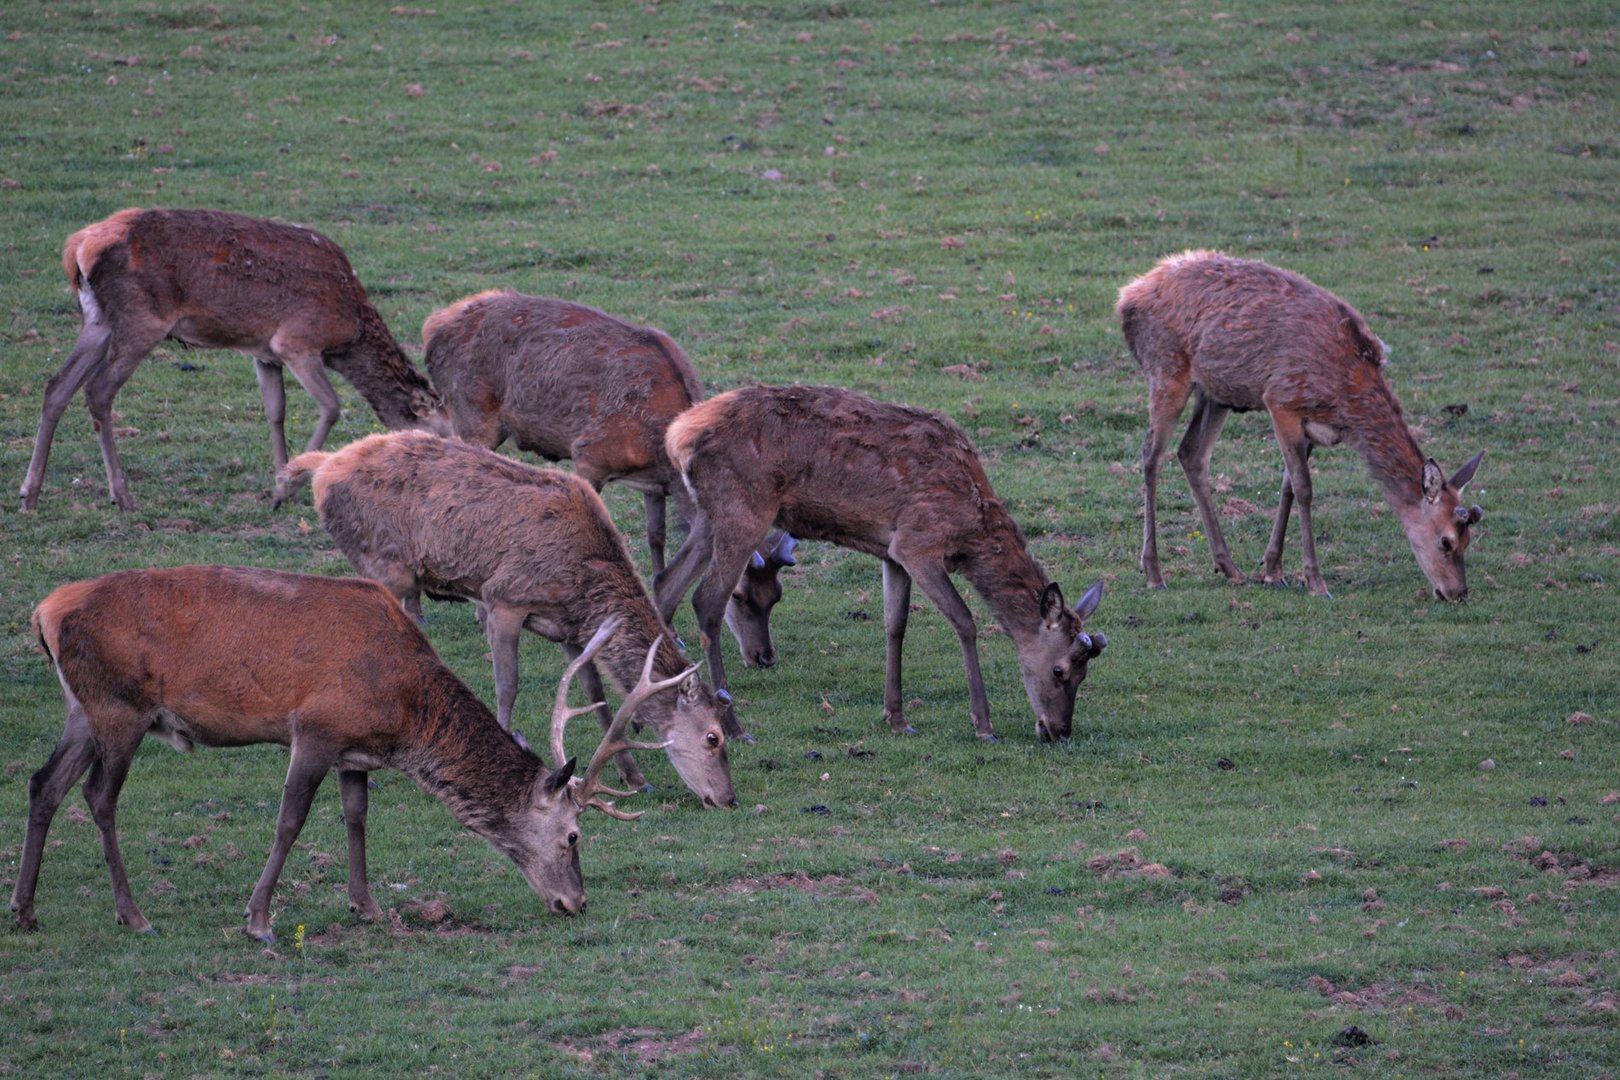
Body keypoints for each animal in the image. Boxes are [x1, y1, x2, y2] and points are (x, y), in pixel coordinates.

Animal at [12, 569, 670, 939]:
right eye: (574, 836)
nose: (576, 903)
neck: (403, 709)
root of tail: (45, 610)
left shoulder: (355, 751)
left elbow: (357, 816)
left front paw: (367, 906)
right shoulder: (316, 728)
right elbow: (290, 821)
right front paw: (258, 920)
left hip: (82, 710)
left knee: (44, 783)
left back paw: (24, 911)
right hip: (119, 707)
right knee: (98, 795)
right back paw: (134, 916)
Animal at [19, 210, 450, 514]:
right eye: (443, 435)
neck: (349, 330)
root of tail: (78, 247)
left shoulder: (264, 353)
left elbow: (275, 412)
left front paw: (280, 484)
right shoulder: (296, 341)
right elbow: (331, 406)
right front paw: (288, 487)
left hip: (97, 320)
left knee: (57, 385)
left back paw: (29, 494)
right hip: (140, 321)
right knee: (98, 390)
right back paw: (122, 497)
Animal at [285, 427, 741, 806]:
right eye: (713, 737)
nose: (728, 798)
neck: (583, 584)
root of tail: (323, 465)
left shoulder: (568, 628)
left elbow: (593, 693)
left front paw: (636, 777)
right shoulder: (504, 598)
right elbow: (508, 686)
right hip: (384, 563)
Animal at [651, 383, 1108, 748]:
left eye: (1086, 674)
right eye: (1060, 670)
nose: (1059, 731)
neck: (970, 527)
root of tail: (677, 435)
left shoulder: (892, 552)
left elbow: (895, 624)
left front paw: (897, 718)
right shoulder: (917, 543)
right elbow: (964, 621)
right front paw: (983, 725)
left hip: (709, 516)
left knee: (665, 585)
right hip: (744, 510)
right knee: (707, 600)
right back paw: (735, 726)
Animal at [1121, 249, 1483, 599]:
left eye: (1469, 540)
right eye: (1446, 541)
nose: (1457, 593)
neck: (1345, 398)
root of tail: (1127, 296)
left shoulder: (1310, 425)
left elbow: (1287, 486)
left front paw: (1272, 570)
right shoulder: (1281, 401)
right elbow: (1304, 488)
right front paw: (1315, 582)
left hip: (1215, 392)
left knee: (1191, 453)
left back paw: (1230, 569)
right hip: (1166, 369)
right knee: (1151, 454)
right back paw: (1154, 573)